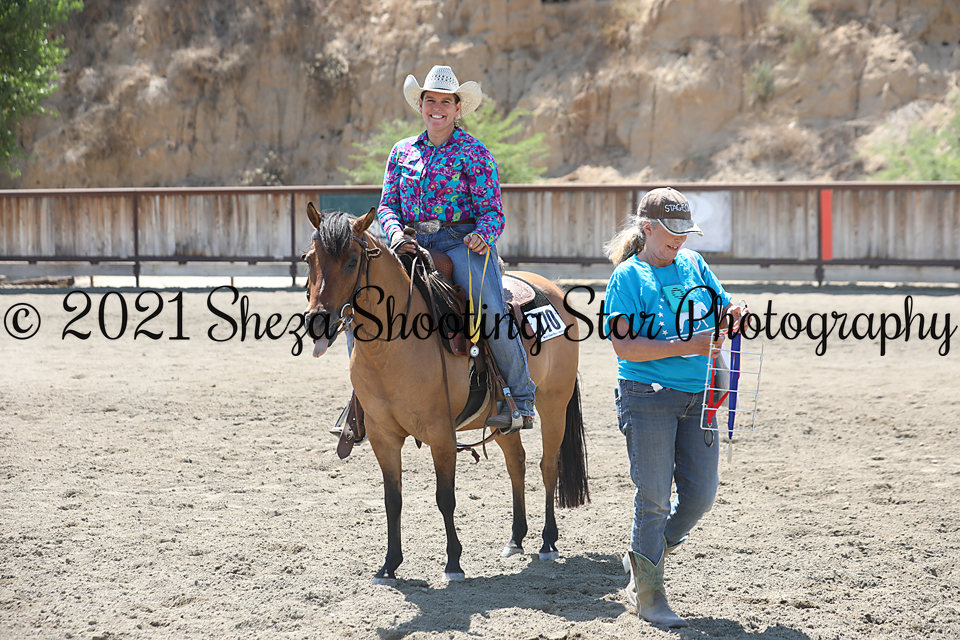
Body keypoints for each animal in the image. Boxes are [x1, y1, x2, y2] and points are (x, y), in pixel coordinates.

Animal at [302, 203, 589, 583]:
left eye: (351, 261)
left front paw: (453, 563)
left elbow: (445, 498)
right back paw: (515, 539)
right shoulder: (382, 435)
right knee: (517, 462)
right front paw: (389, 565)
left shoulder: (441, 433)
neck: (394, 346)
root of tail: (552, 289)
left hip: (554, 401)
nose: (317, 321)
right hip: (502, 420)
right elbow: (392, 499)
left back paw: (548, 541)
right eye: (309, 259)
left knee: (547, 465)